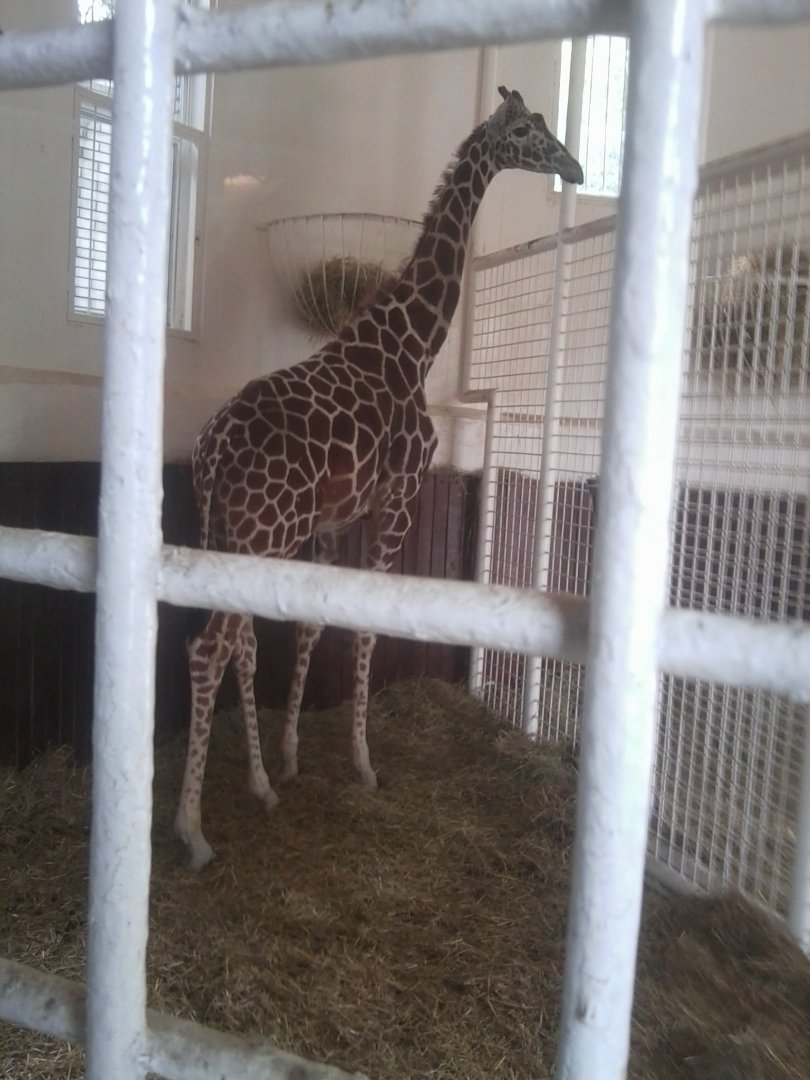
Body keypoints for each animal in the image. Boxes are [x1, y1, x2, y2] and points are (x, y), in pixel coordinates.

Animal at [175, 86, 583, 869]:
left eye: (547, 126)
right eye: (524, 131)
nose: (574, 167)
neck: (411, 346)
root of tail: (211, 453)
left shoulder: (335, 521)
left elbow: (311, 625)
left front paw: (292, 758)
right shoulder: (398, 502)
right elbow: (365, 627)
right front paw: (364, 763)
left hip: (227, 532)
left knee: (240, 644)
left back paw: (259, 788)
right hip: (259, 535)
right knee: (210, 648)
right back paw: (192, 831)